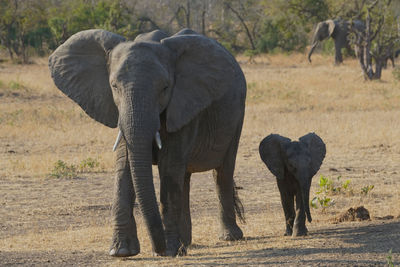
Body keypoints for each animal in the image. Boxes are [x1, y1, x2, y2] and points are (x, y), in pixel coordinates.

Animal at [48, 28, 245, 258]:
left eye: (165, 88)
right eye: (114, 87)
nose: (157, 249)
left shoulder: (183, 104)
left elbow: (168, 166)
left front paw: (170, 250)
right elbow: (125, 166)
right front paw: (121, 251)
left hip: (237, 115)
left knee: (221, 172)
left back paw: (228, 237)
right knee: (184, 177)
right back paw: (186, 244)